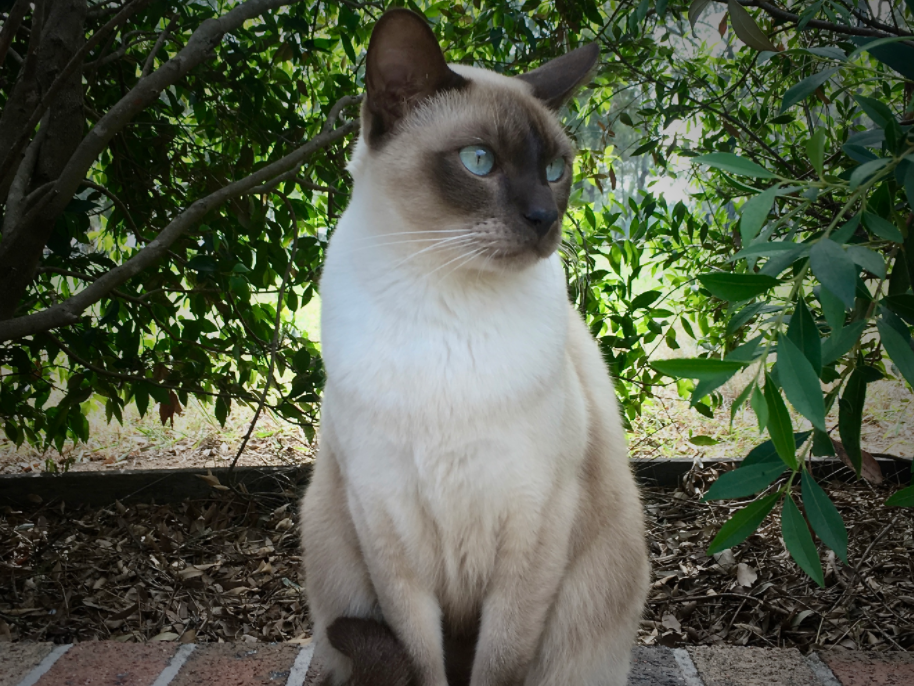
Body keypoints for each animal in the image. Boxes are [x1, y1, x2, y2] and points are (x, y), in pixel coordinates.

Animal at [302, 9, 648, 686]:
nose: (544, 219)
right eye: (479, 161)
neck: (446, 304)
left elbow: (500, 663)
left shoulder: (534, 524)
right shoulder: (386, 526)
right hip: (331, 542)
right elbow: (422, 660)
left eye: (554, 170)